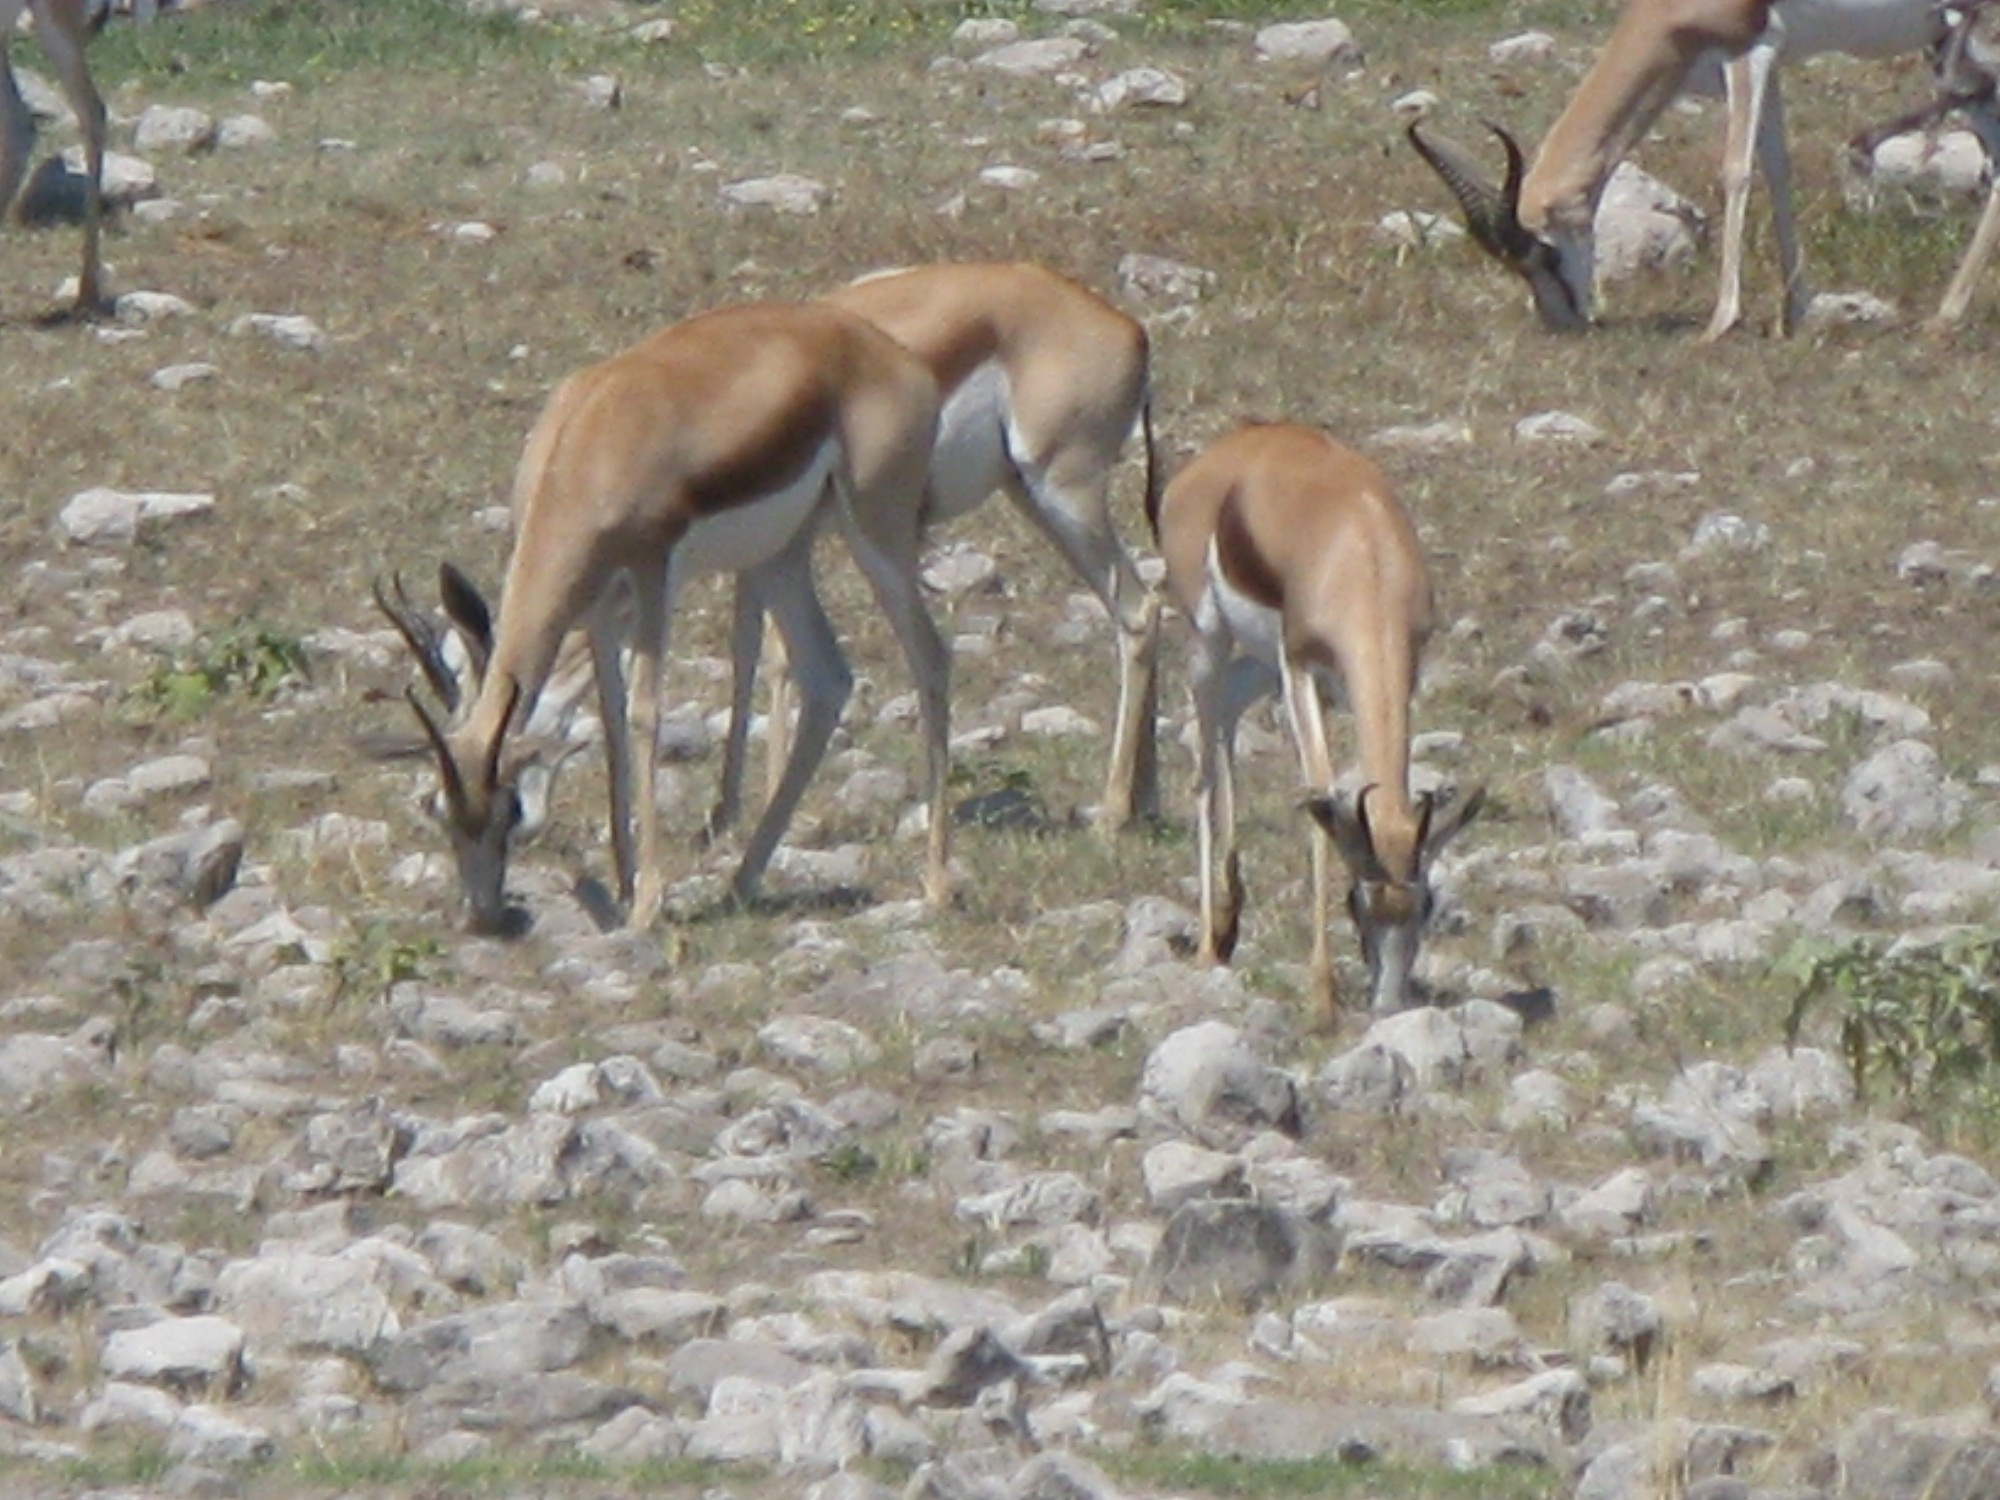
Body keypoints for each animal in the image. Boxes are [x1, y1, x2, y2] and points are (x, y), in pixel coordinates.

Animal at [378, 302, 948, 940]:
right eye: (438, 810)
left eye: (509, 808)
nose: (482, 916)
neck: (589, 447)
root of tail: (894, 356)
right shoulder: (599, 609)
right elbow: (610, 723)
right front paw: (625, 884)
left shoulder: (654, 577)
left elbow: (646, 715)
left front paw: (647, 903)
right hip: (779, 557)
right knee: (827, 678)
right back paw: (744, 879)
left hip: (877, 529)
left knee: (930, 657)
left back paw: (936, 887)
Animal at [712, 262, 1168, 848]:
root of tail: (1128, 329)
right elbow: (748, 653)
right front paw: (725, 815)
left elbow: (778, 656)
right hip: (1030, 495)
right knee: (1136, 610)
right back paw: (1143, 803)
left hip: (1064, 492)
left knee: (1138, 609)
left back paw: (1112, 812)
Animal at [1160, 428, 1488, 1032]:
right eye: (1357, 904)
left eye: (1425, 906)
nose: (1387, 1004)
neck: (1362, 555)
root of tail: (1234, 445)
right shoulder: (1300, 671)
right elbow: (1320, 800)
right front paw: (1321, 997)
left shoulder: (1391, 676)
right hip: (1210, 641)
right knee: (1203, 759)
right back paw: (1208, 945)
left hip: (1258, 662)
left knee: (1228, 713)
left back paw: (1230, 917)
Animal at [1408, 0, 2000, 340]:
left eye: (1545, 253)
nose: (1564, 321)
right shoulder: (1767, 64)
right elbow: (1776, 169)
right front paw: (1797, 312)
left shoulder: (1749, 50)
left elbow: (1737, 171)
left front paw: (1721, 321)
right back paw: (1946, 314)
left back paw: (1946, 315)